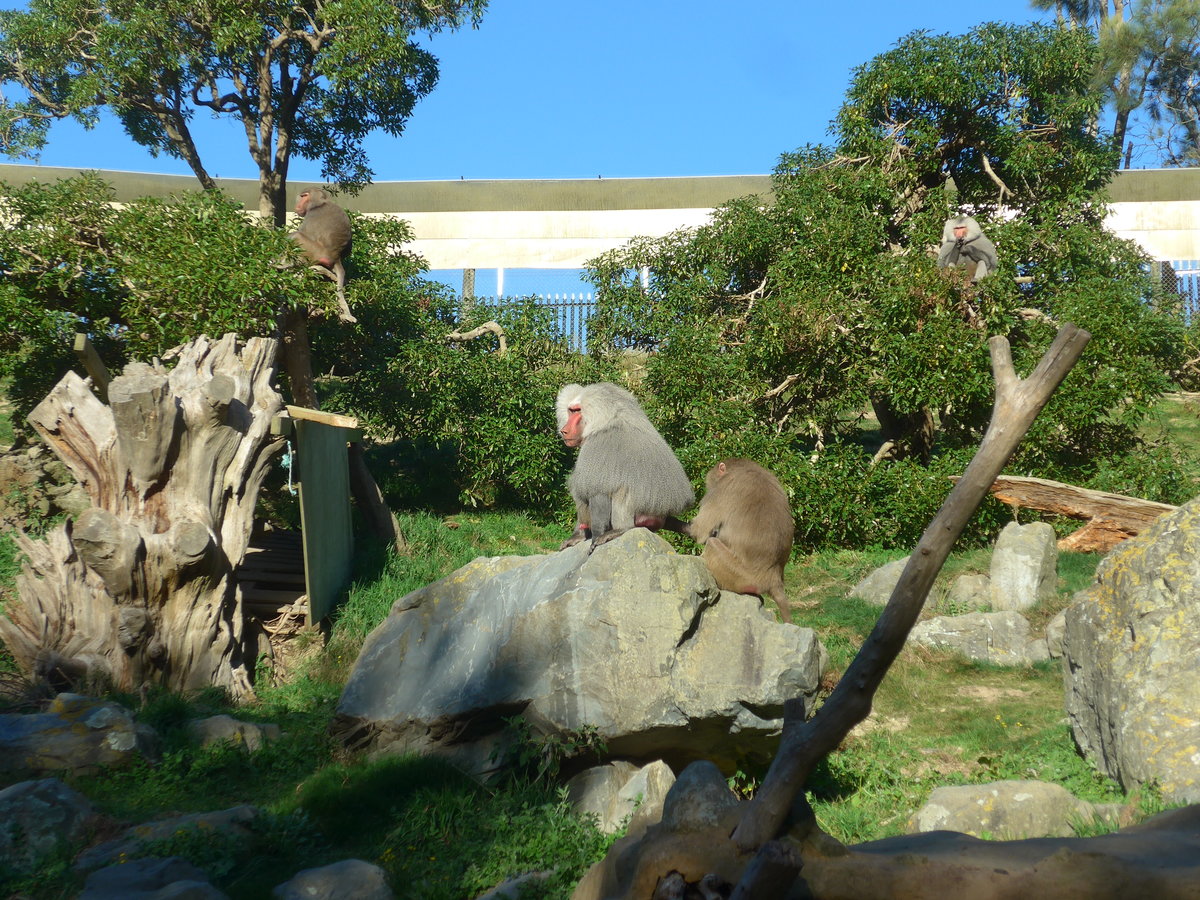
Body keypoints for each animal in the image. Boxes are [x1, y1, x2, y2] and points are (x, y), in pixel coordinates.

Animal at [290, 187, 356, 323]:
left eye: (304, 196)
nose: (297, 205)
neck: (321, 202)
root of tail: (336, 258)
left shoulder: (312, 215)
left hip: (313, 251)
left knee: (296, 236)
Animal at [556, 382, 695, 549]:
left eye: (577, 411)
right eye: (571, 410)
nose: (564, 431)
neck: (609, 419)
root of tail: (662, 515)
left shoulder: (595, 447)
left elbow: (597, 491)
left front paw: (594, 539)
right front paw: (579, 536)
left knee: (621, 491)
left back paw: (620, 530)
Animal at [686, 458, 794, 622]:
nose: (708, 485)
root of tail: (773, 577)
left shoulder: (722, 488)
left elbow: (699, 532)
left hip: (740, 576)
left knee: (712, 544)